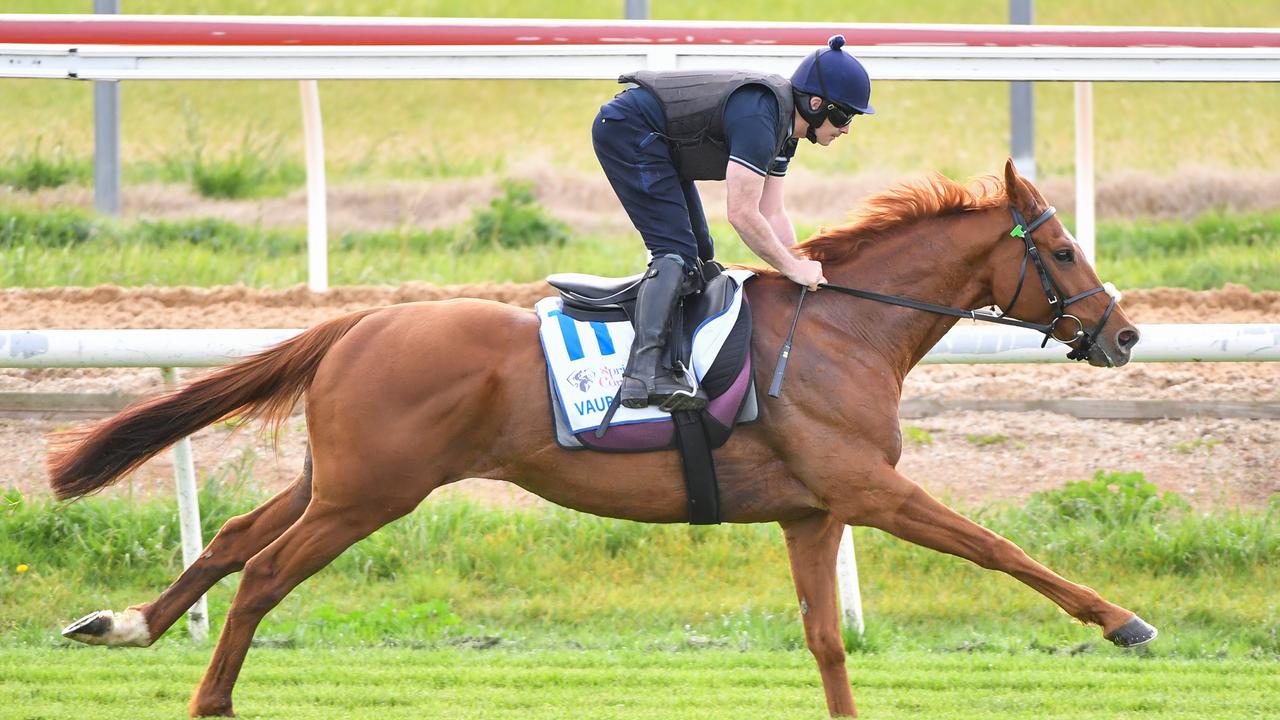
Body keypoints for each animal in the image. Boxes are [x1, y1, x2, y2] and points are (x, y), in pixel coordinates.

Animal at [49, 159, 1157, 712]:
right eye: (1063, 250)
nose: (1124, 333)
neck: (842, 325)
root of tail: (355, 322)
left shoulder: (811, 512)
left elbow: (826, 641)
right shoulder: (869, 491)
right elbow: (999, 547)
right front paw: (1122, 621)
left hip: (337, 478)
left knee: (236, 539)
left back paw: (124, 623)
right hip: (371, 493)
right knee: (267, 574)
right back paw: (209, 700)